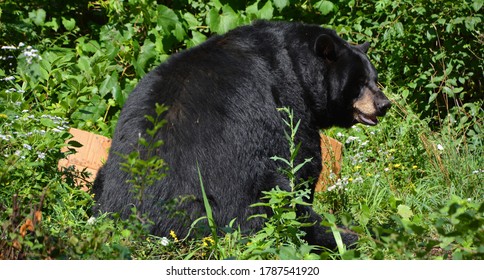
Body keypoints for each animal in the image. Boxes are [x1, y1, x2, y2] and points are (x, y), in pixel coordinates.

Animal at [92, 20, 392, 248]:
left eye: (374, 79)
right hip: (242, 192)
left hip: (107, 174)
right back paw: (345, 236)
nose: (384, 104)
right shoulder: (287, 101)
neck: (296, 65)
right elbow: (302, 161)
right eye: (358, 82)